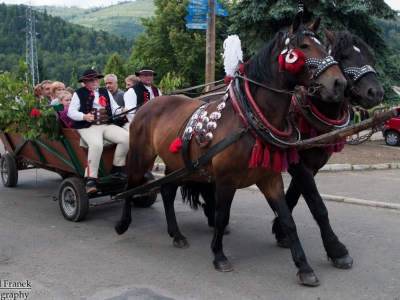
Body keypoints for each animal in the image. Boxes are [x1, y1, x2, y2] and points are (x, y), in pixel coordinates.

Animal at [115, 12, 346, 288]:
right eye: (304, 46)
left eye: (324, 46)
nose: (339, 83)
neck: (247, 120)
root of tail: (149, 103)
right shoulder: (226, 180)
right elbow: (221, 216)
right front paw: (219, 254)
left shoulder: (270, 179)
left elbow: (288, 220)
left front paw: (304, 266)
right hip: (142, 158)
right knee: (129, 187)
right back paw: (123, 223)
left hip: (179, 165)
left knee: (167, 191)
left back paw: (176, 234)